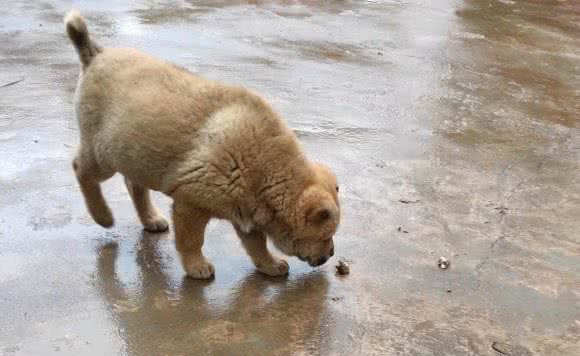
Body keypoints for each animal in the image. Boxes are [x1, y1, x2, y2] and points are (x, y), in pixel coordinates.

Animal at [64, 10, 340, 278]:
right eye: (327, 235)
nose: (331, 254)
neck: (268, 172)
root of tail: (95, 54)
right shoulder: (192, 204)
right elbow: (192, 241)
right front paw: (196, 266)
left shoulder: (247, 212)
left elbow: (256, 245)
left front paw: (269, 265)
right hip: (103, 155)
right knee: (82, 169)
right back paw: (102, 215)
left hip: (133, 151)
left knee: (134, 185)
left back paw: (150, 219)